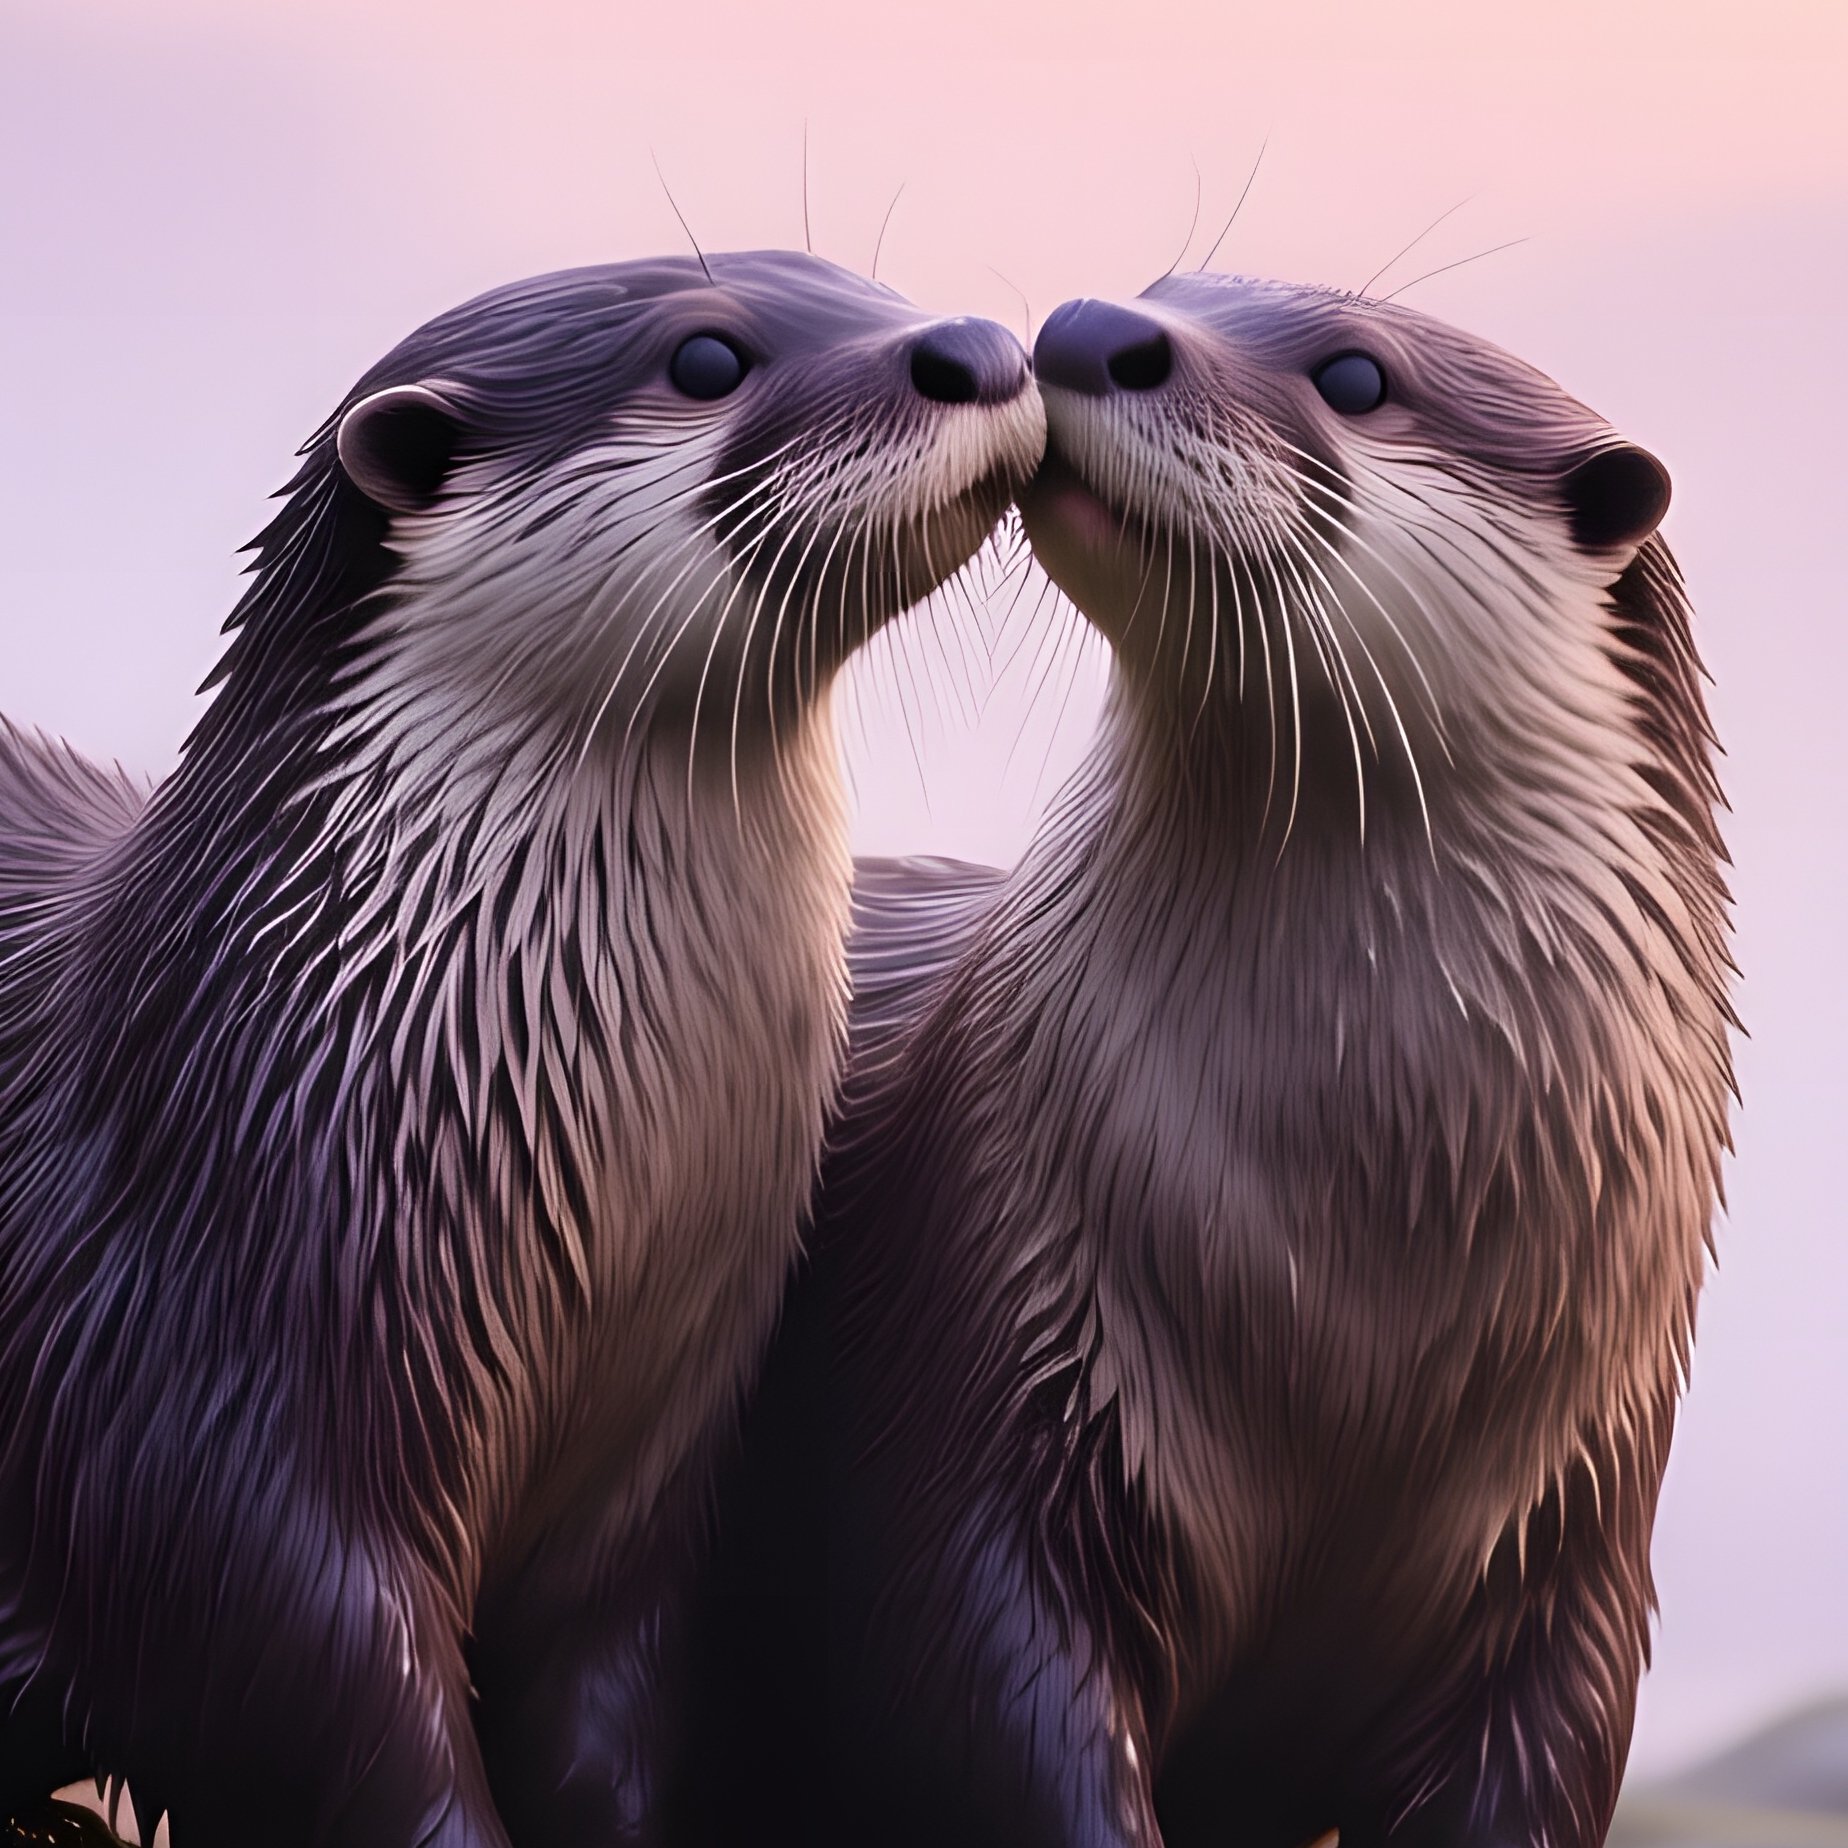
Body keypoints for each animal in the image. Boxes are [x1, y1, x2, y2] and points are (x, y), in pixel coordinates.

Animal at [0, 252, 1043, 1847]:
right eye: (705, 357)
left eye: (861, 281)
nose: (980, 347)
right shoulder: (204, 1414)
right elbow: (323, 1713)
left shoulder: (660, 1467)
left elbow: (609, 1715)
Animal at [714, 274, 1731, 1848]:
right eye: (1173, 291)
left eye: (1358, 376)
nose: (1086, 328)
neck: (1348, 1302)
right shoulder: (986, 1346)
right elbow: (974, 1693)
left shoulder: (1570, 1542)